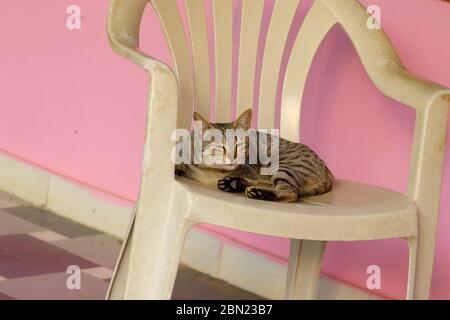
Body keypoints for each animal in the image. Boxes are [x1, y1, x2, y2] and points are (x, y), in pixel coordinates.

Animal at [176, 108, 334, 202]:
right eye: (220, 147)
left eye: (239, 145)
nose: (233, 157)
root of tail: (327, 171)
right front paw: (179, 167)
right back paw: (234, 184)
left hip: (282, 166)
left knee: (290, 193)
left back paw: (255, 191)